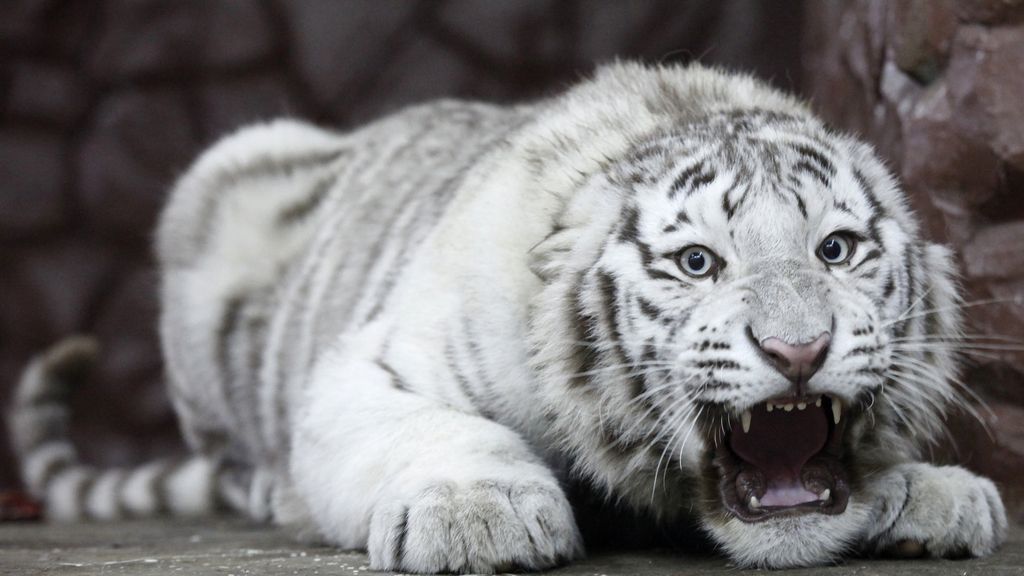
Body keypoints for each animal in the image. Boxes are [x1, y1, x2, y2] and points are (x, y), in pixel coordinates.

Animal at [8, 61, 1007, 572]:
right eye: (697, 262)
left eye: (835, 249)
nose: (798, 350)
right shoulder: (372, 366)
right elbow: (439, 429)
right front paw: (476, 512)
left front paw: (933, 491)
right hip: (223, 173)